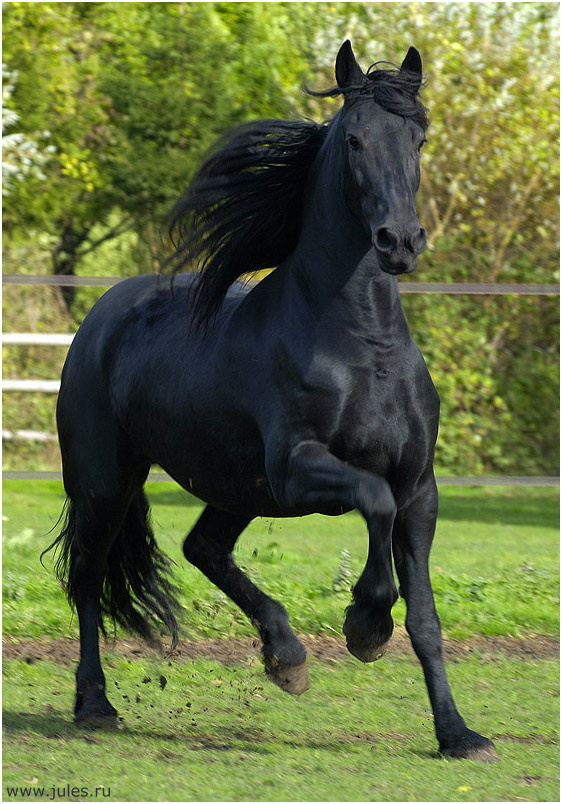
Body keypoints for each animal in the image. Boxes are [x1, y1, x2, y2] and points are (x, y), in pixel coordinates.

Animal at [45, 41, 498, 761]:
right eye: (355, 140)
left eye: (420, 138)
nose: (399, 242)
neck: (361, 345)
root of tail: (101, 316)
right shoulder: (298, 468)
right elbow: (372, 504)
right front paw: (365, 625)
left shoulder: (418, 488)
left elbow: (426, 619)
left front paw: (458, 735)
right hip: (107, 481)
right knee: (89, 575)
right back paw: (95, 703)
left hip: (236, 488)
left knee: (203, 548)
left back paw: (285, 656)